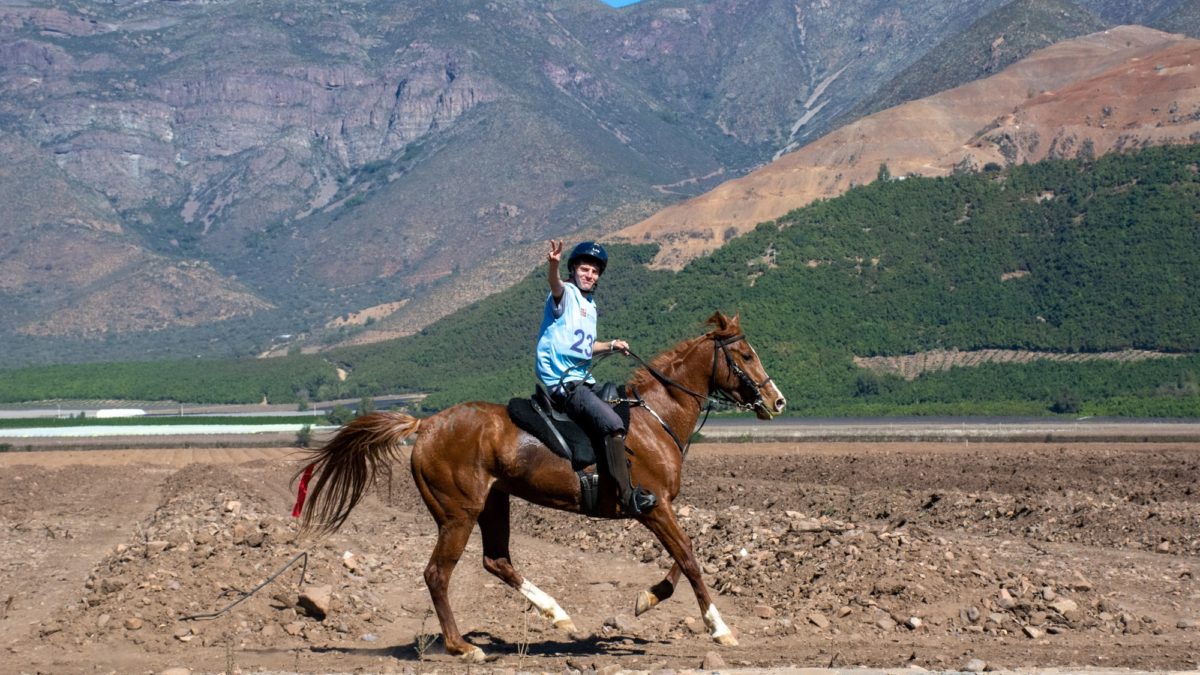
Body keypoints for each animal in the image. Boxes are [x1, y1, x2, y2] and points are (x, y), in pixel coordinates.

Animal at [292, 312, 787, 658]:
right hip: (458, 514)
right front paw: (720, 629)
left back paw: (557, 616)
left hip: (494, 504)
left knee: (496, 561)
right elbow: (689, 559)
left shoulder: (657, 507)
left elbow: (683, 559)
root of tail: (426, 423)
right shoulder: (653, 505)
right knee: (437, 574)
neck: (655, 418)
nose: (777, 400)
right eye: (745, 355)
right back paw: (464, 647)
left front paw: (646, 599)